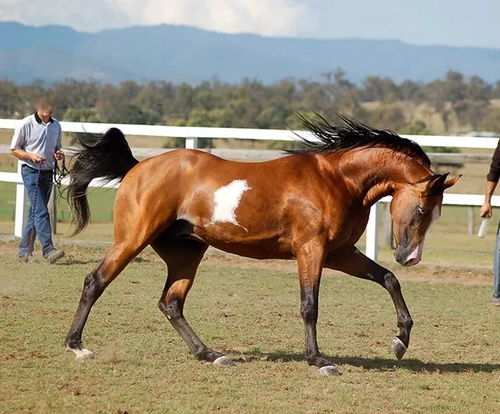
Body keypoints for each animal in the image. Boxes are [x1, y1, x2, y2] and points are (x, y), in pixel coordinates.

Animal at [66, 114, 460, 376]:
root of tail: (137, 168)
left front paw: (400, 341)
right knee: (95, 282)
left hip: (186, 253)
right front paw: (319, 361)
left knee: (171, 303)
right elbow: (309, 306)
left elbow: (388, 280)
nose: (409, 257)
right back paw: (78, 347)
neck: (338, 180)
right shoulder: (311, 250)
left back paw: (211, 354)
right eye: (423, 209)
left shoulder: (339, 253)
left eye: (438, 213)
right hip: (133, 239)